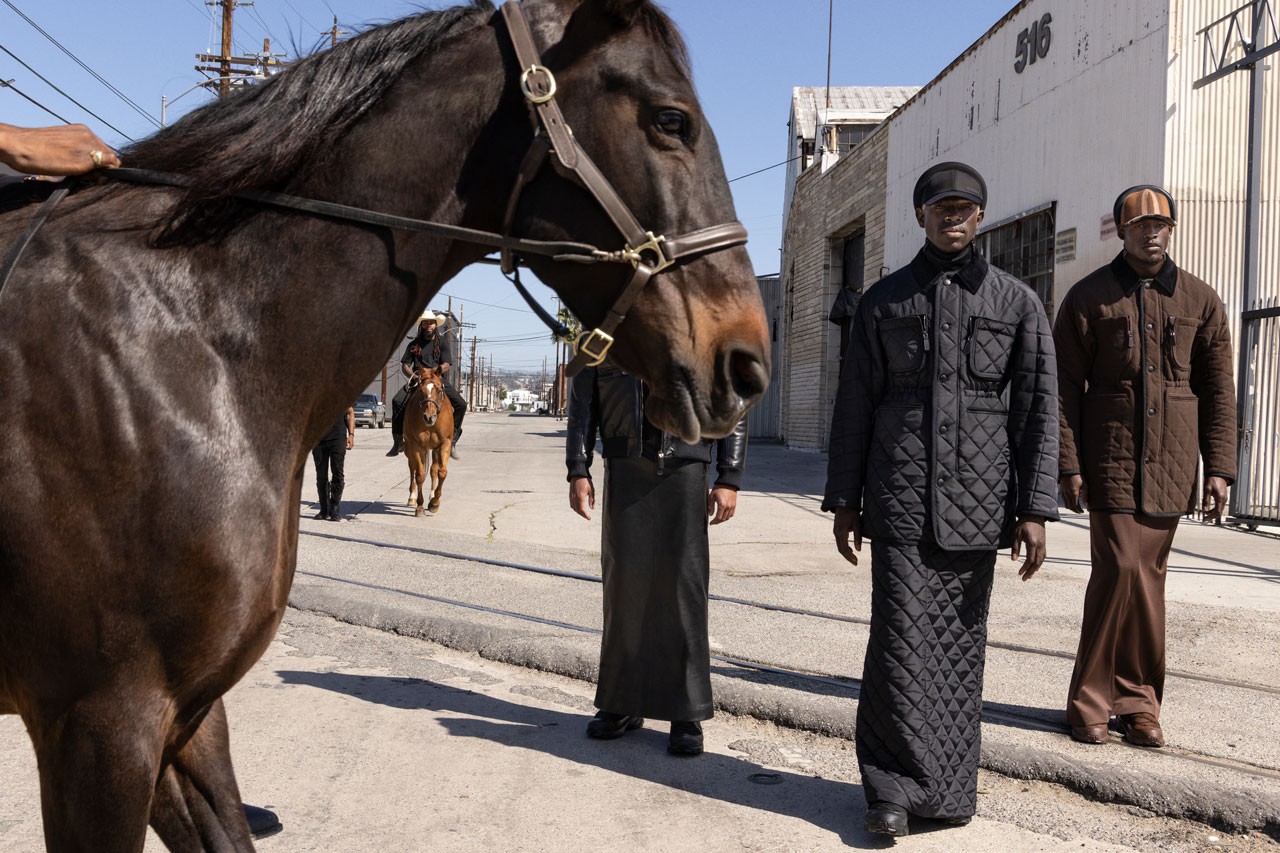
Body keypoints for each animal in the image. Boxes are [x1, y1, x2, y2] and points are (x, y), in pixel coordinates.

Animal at [407, 363, 458, 512]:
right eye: (420, 390)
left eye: (439, 390)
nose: (429, 417)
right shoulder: (415, 445)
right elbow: (419, 474)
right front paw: (419, 506)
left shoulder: (445, 443)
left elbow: (441, 472)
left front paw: (435, 502)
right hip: (410, 447)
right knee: (412, 467)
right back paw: (412, 497)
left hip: (434, 449)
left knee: (433, 469)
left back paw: (432, 495)